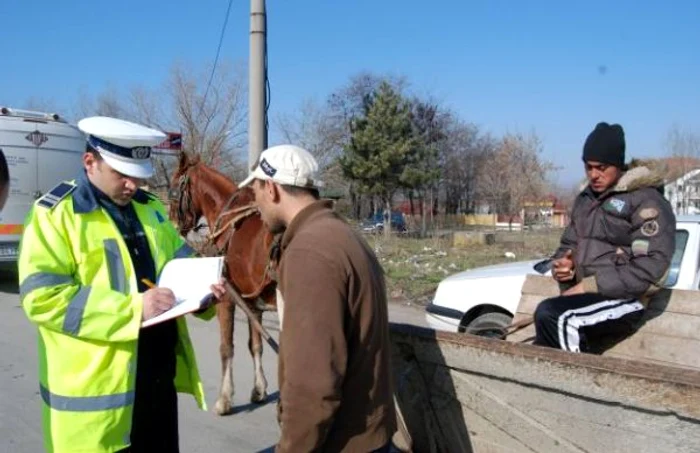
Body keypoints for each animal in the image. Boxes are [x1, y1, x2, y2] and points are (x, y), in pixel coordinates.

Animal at [168, 154, 278, 414]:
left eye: (175, 187)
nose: (172, 223)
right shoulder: (253, 304)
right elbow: (255, 345)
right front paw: (259, 390)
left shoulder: (226, 298)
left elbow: (226, 347)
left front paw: (224, 398)